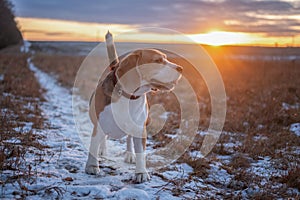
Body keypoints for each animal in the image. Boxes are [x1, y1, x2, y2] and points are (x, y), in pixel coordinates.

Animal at [85, 38, 183, 183]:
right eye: (158, 60)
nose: (181, 68)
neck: (128, 97)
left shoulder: (140, 129)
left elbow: (141, 153)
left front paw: (141, 173)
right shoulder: (99, 125)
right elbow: (94, 145)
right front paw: (91, 166)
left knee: (128, 139)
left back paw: (130, 154)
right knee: (104, 139)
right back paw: (103, 150)